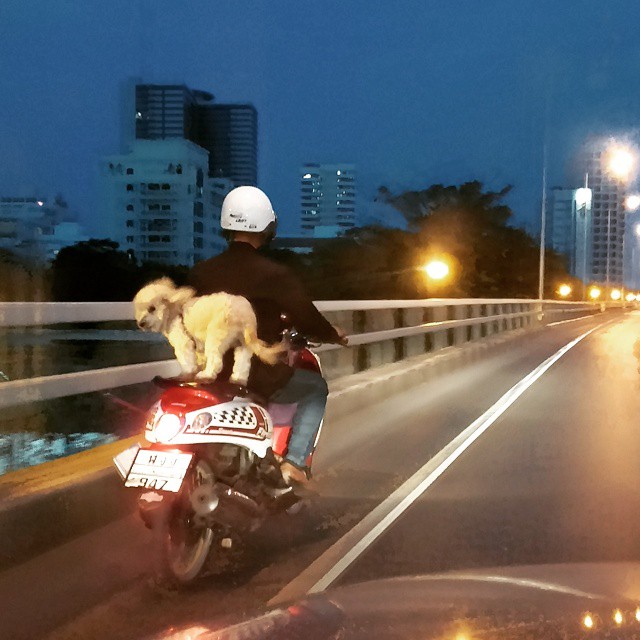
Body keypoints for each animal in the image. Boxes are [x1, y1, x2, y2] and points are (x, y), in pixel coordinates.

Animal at [132, 276, 282, 384]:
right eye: (138, 310)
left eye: (152, 308)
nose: (141, 323)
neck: (172, 310)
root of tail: (244, 313)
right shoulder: (199, 345)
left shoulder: (183, 342)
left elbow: (186, 360)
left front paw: (187, 374)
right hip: (243, 343)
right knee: (243, 362)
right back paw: (238, 379)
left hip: (215, 337)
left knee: (215, 360)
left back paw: (207, 375)